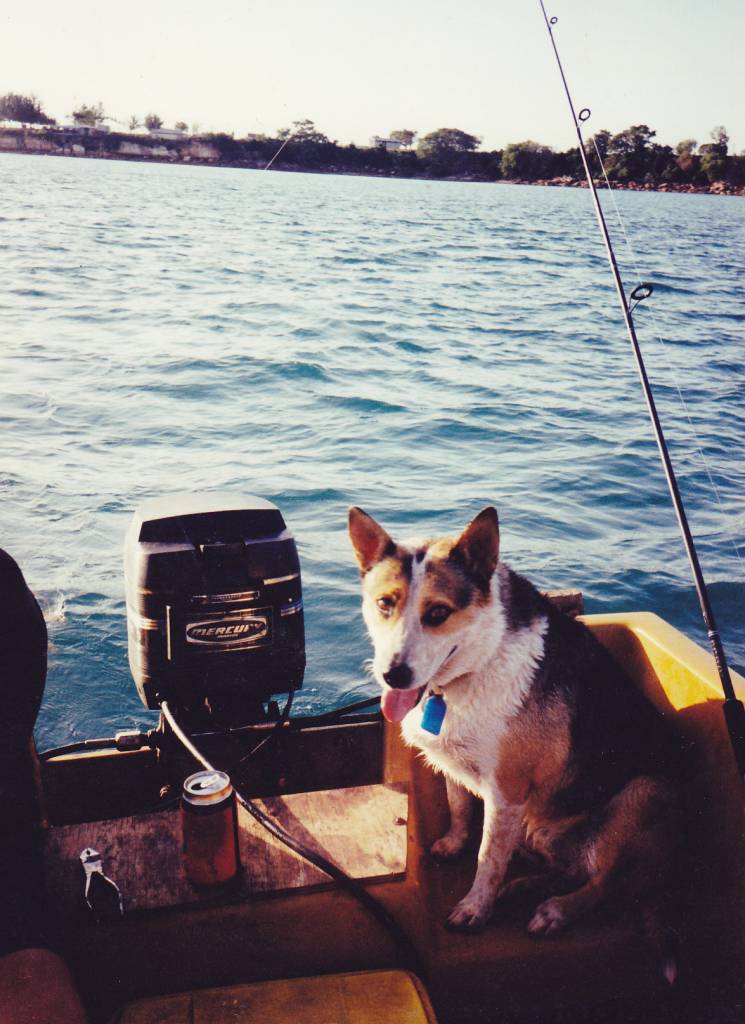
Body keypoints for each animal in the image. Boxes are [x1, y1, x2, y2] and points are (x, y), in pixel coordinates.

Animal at [349, 507, 687, 978]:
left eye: (438, 612)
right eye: (385, 603)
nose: (393, 675)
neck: (477, 662)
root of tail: (667, 872)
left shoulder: (506, 792)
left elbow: (488, 858)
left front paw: (475, 909)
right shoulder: (459, 766)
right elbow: (459, 807)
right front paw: (454, 843)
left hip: (641, 795)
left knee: (604, 883)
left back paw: (555, 910)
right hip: (541, 829)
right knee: (573, 869)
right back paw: (524, 884)